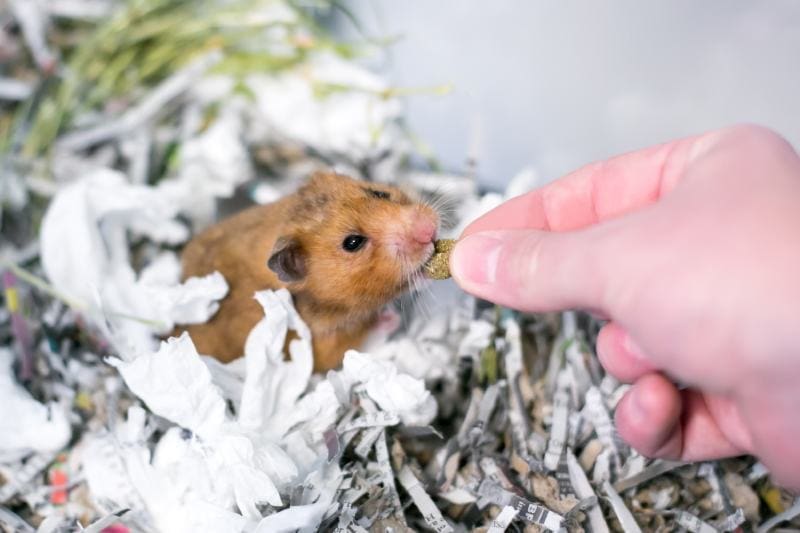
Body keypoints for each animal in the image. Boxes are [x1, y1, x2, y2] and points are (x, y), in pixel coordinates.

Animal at [178, 171, 440, 372]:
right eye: (353, 242)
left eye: (378, 193)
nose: (429, 230)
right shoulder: (325, 346)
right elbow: (363, 337)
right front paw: (391, 318)